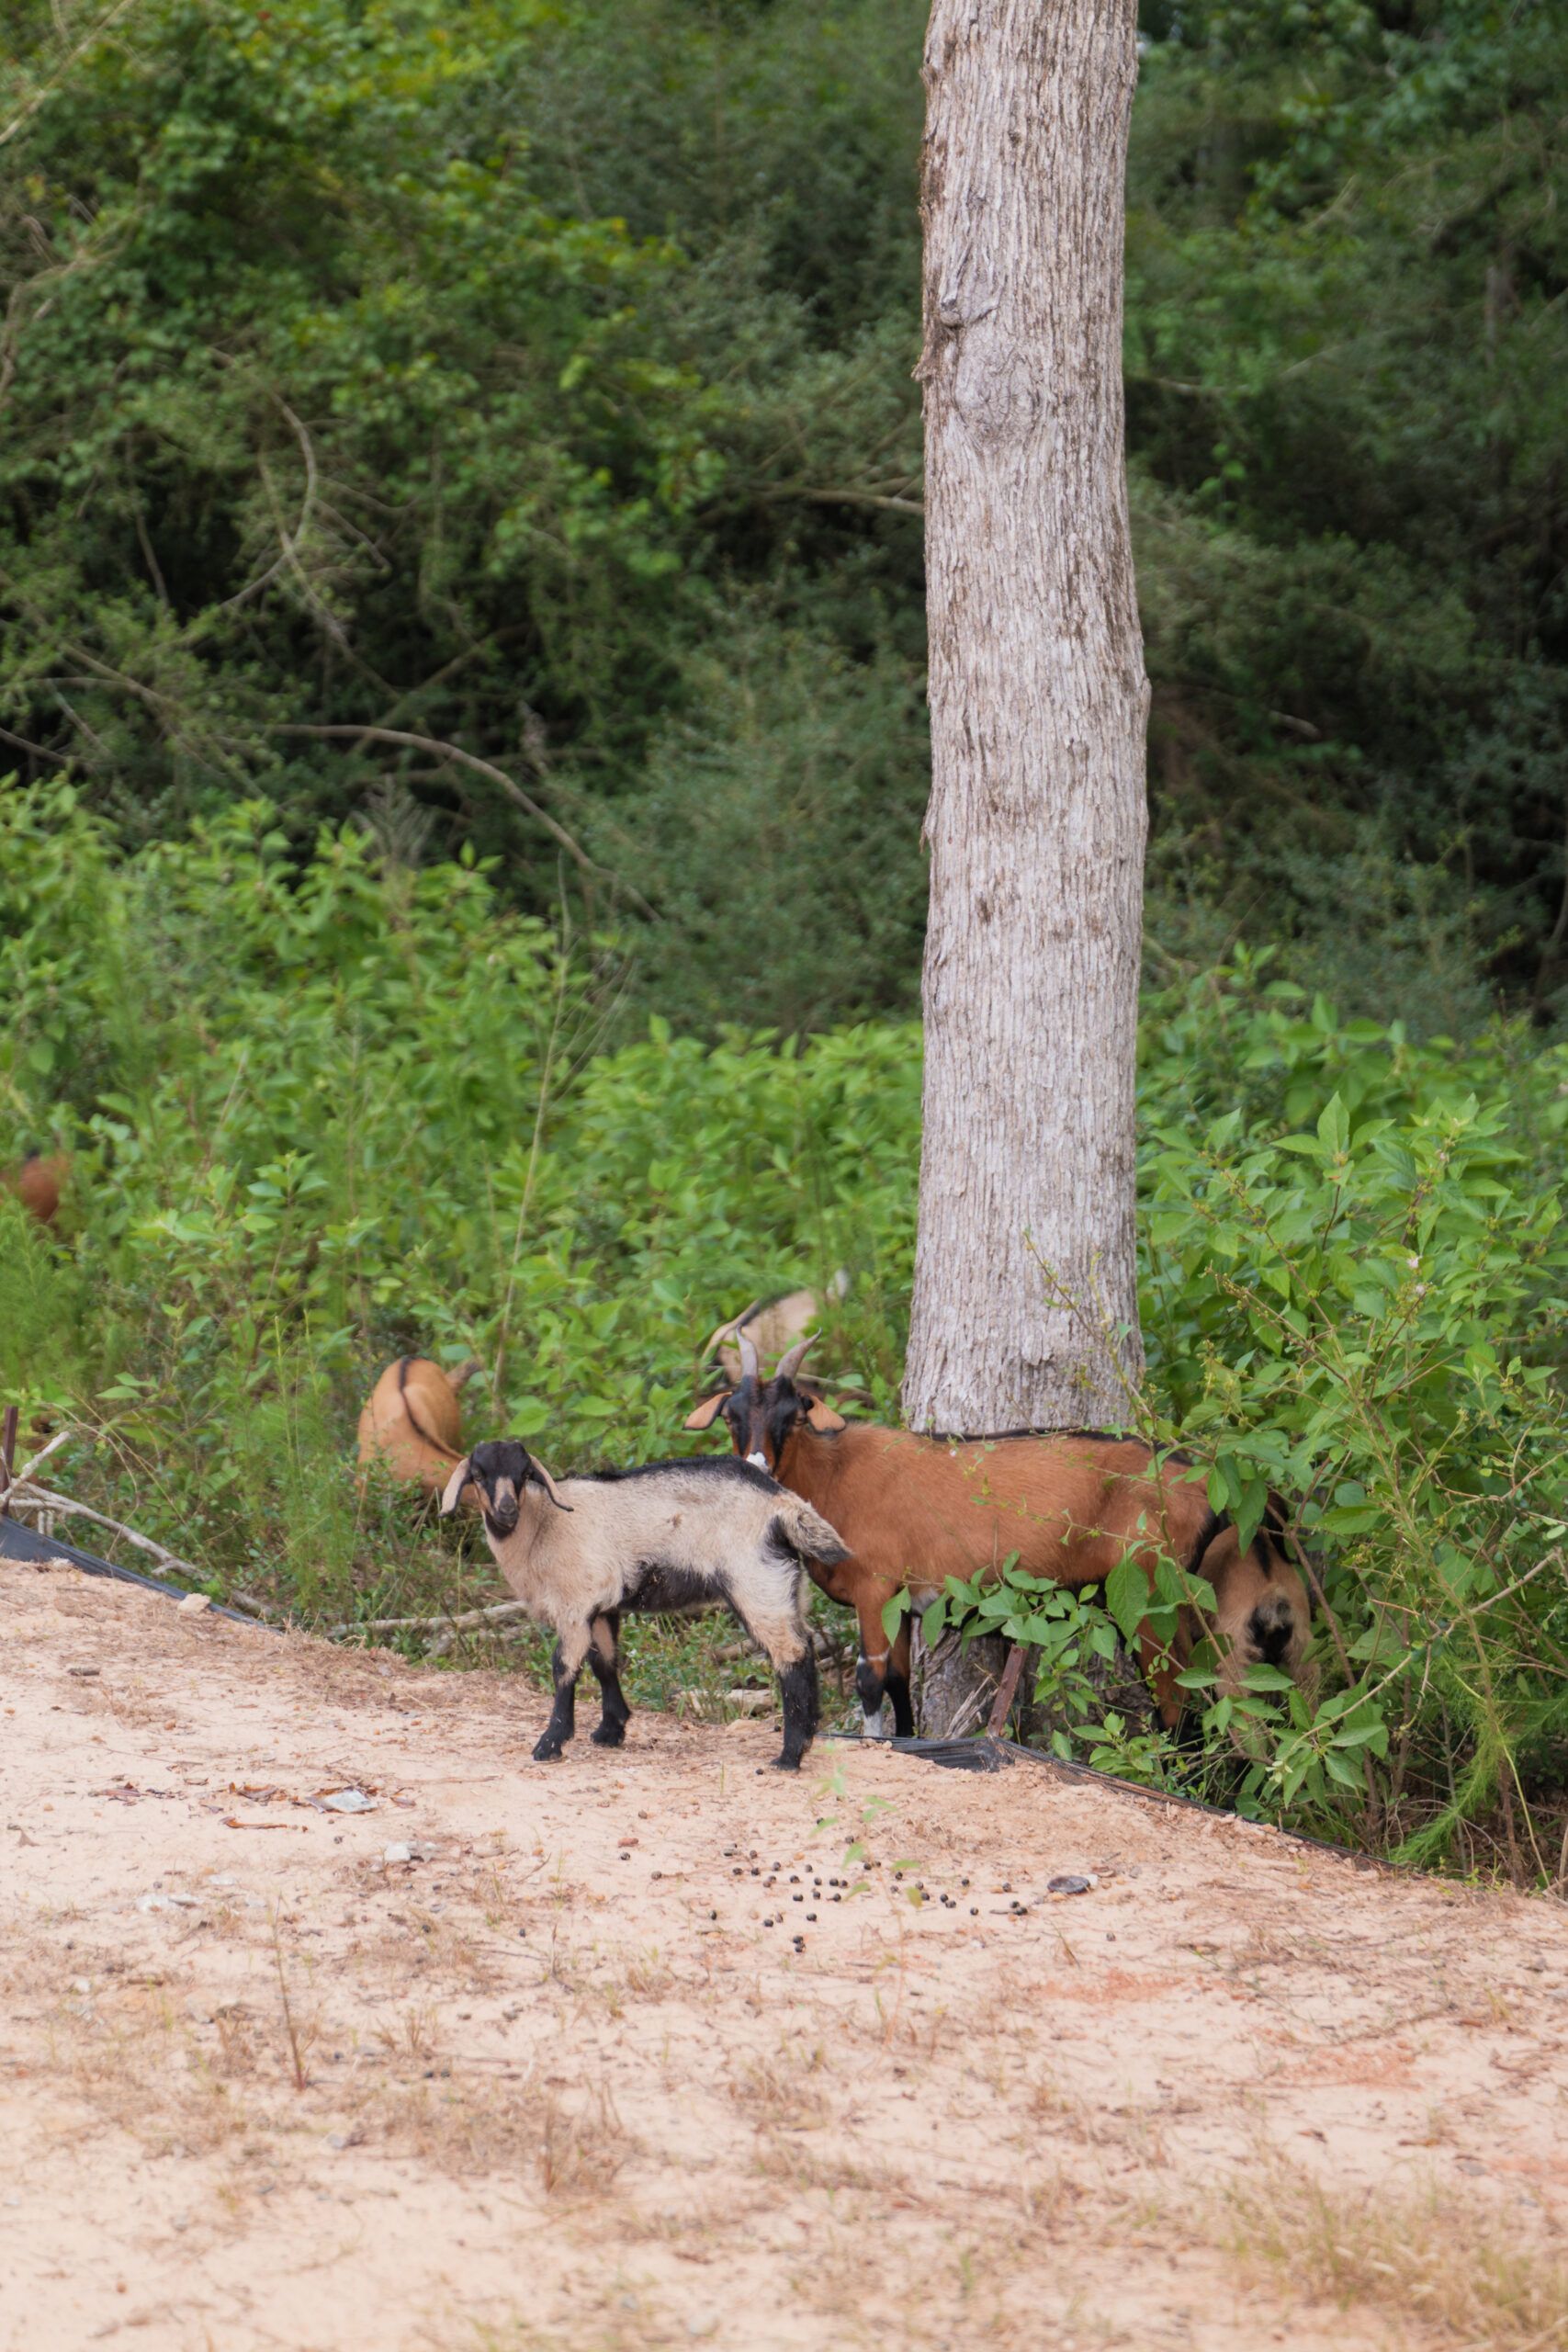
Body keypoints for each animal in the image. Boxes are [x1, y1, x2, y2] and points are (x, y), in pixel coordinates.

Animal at [440, 1439, 849, 1769]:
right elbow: (604, 1662)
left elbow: (564, 1667)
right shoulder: (600, 1606)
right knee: (806, 1645)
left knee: (790, 1654)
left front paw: (550, 1743)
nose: (507, 1510)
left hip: (755, 1579)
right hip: (787, 1583)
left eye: (525, 1474)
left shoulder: (574, 1603)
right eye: (477, 1475)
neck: (542, 1525)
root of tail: (783, 1504)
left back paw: (789, 1756)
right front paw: (610, 1730)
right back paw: (806, 1738)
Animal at [684, 1331, 1310, 1739]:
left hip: (1151, 1596)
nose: (757, 1467)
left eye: (794, 1414)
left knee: (1178, 1695)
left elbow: (869, 1679)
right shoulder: (902, 1603)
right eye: (731, 1415)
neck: (836, 1476)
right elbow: (900, 1682)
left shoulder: (874, 1588)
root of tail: (1204, 1481)